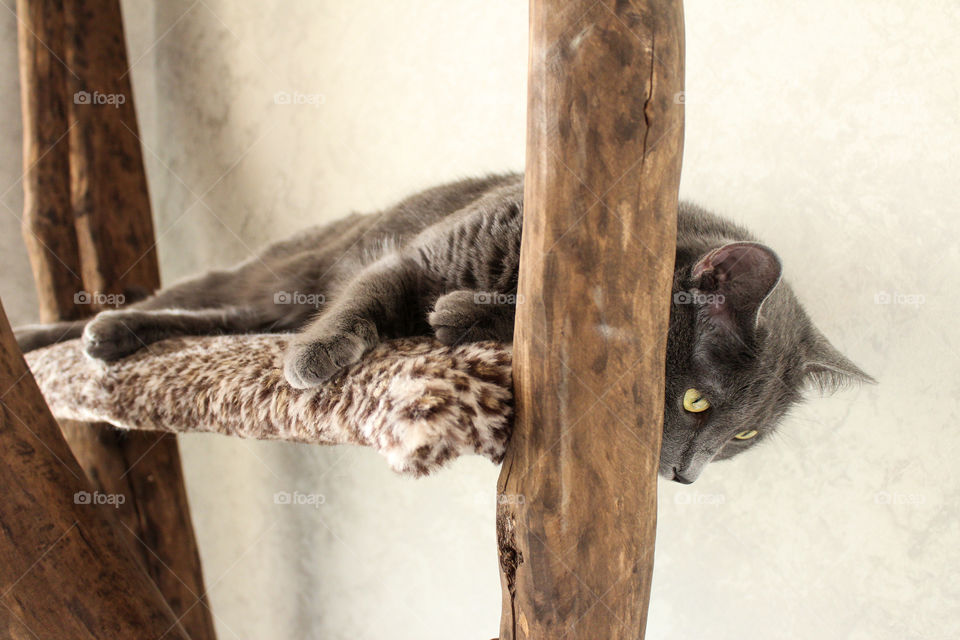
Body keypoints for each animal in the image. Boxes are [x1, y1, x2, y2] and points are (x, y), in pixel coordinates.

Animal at [15, 172, 872, 482]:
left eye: (743, 438)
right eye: (697, 404)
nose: (688, 477)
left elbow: (452, 314)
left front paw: (461, 315)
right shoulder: (418, 259)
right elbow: (367, 305)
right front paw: (315, 362)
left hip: (272, 298)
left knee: (228, 319)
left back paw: (110, 339)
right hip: (287, 267)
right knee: (208, 296)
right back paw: (59, 336)